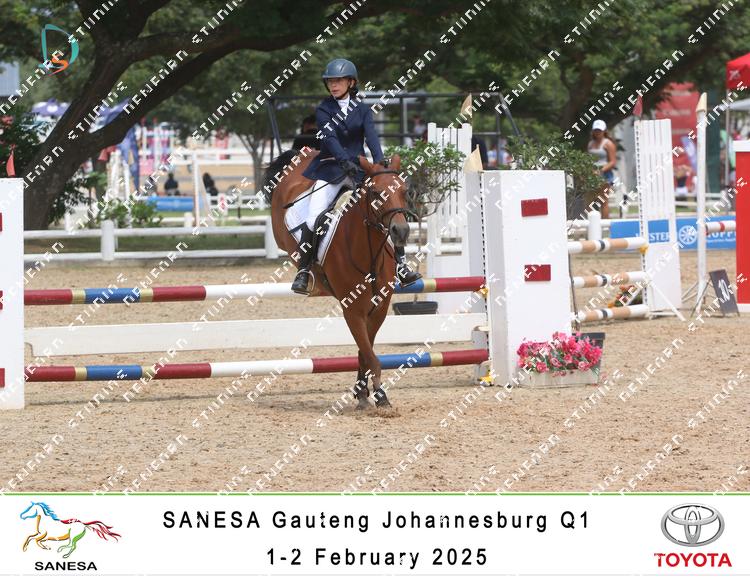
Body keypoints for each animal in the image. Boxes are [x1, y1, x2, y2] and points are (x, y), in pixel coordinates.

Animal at [265, 149, 411, 409]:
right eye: (376, 192)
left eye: (404, 190)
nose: (401, 231)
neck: (368, 254)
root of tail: (304, 154)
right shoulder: (352, 310)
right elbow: (370, 355)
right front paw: (377, 396)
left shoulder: (379, 309)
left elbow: (366, 351)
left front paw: (365, 393)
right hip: (283, 234)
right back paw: (303, 277)